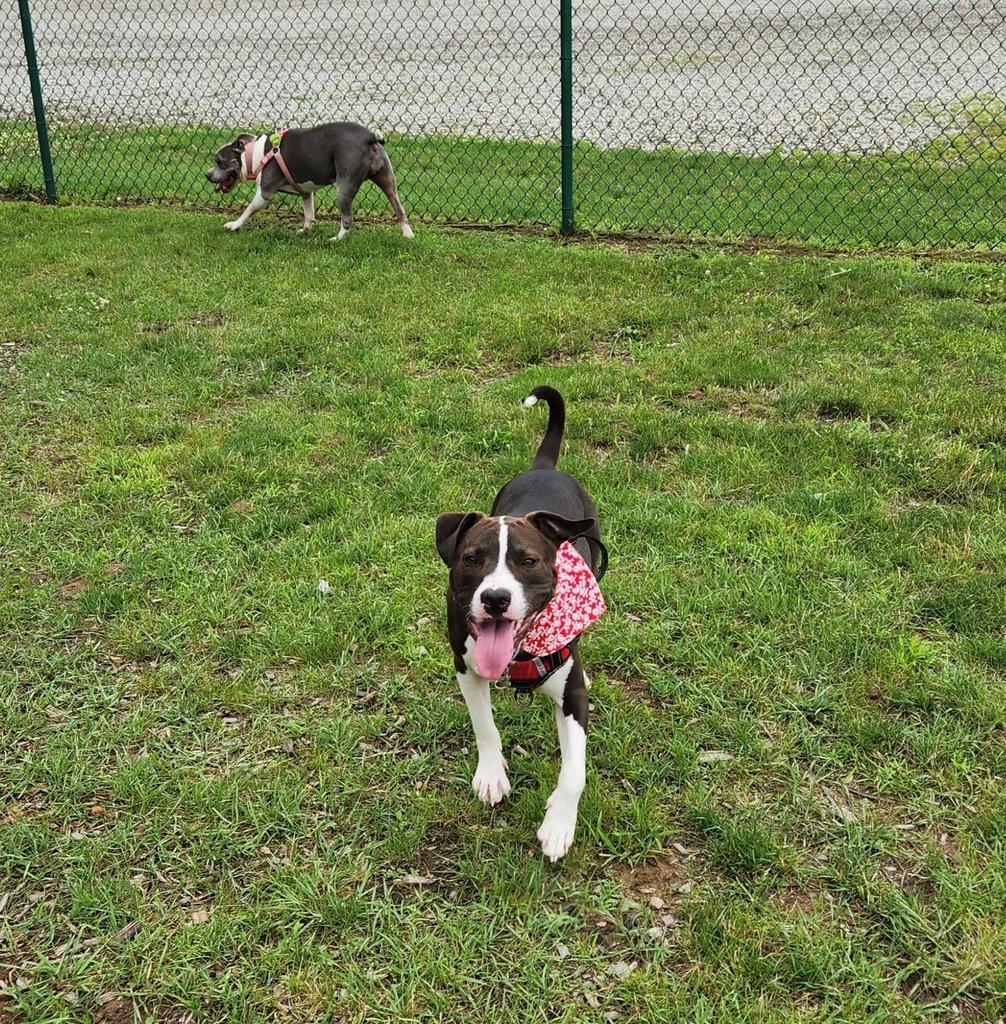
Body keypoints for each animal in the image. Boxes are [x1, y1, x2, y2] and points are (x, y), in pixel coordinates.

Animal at [206, 120, 415, 240]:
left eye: (220, 162)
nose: (206, 175)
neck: (254, 155)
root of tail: (368, 136)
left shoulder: (264, 192)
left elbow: (249, 210)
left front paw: (234, 225)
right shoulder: (306, 192)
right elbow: (308, 213)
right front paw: (305, 231)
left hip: (344, 187)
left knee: (347, 218)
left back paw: (337, 239)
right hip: (388, 181)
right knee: (399, 208)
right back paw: (408, 235)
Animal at [434, 387, 606, 860]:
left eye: (527, 561)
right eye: (471, 558)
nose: (495, 598)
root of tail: (543, 468)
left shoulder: (572, 692)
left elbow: (575, 771)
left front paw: (559, 824)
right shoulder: (466, 667)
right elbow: (484, 726)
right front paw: (492, 774)